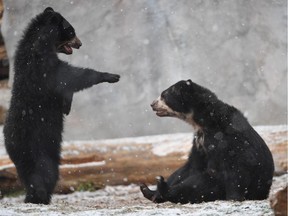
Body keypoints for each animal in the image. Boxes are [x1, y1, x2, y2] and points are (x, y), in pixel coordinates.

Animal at [2, 7, 119, 204]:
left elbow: (66, 87)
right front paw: (111, 76)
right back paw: (41, 196)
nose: (80, 43)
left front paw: (67, 106)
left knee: (27, 175)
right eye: (71, 31)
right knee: (46, 172)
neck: (39, 41)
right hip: (40, 146)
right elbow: (68, 76)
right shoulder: (42, 64)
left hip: (22, 157)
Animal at [141, 79, 274, 204]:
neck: (202, 122)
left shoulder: (228, 139)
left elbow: (238, 164)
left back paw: (162, 187)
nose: (152, 104)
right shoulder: (199, 143)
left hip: (217, 183)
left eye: (164, 95)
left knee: (198, 185)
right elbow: (190, 166)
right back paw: (149, 190)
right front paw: (154, 192)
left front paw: (234, 197)